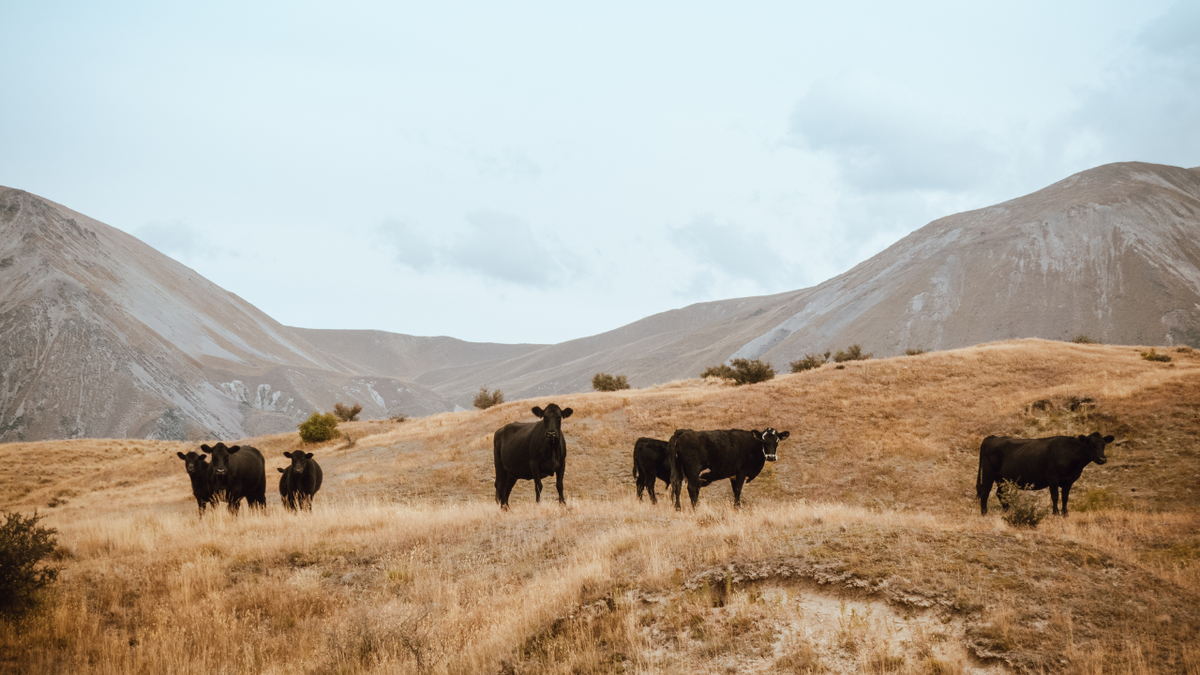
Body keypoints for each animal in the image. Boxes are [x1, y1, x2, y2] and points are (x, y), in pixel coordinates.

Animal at [974, 429, 1113, 514]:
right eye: (1091, 445)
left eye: (1103, 445)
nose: (1103, 459)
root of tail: (992, 438)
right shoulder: (1052, 477)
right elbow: (1055, 496)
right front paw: (1056, 514)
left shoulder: (1069, 481)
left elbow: (1065, 498)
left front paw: (1065, 514)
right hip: (988, 474)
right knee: (985, 492)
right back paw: (984, 513)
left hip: (1002, 478)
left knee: (1000, 493)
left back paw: (1008, 511)